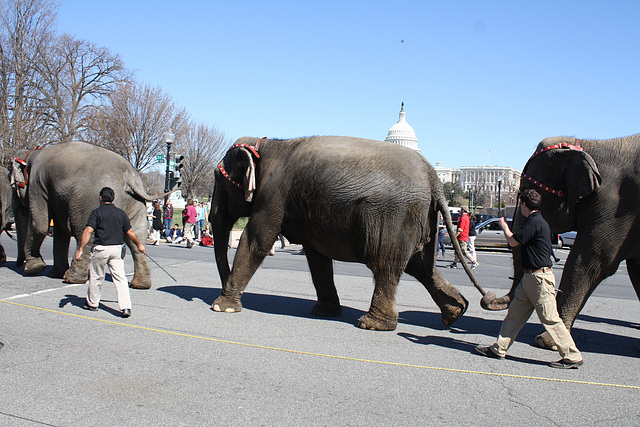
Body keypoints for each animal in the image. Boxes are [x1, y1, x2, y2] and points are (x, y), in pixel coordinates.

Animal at [10, 142, 160, 290]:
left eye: (12, 185)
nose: (19, 264)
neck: (32, 153)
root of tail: (130, 176)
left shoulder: (37, 185)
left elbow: (40, 225)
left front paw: (33, 269)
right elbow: (61, 231)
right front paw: (54, 274)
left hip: (88, 203)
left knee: (85, 234)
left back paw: (71, 278)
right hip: (136, 202)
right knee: (136, 237)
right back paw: (140, 285)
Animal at [210, 136, 484, 332]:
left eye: (217, 179)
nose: (221, 287)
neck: (269, 144)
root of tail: (434, 179)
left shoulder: (272, 194)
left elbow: (257, 239)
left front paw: (222, 308)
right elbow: (317, 257)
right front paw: (325, 312)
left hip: (397, 217)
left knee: (387, 266)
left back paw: (372, 324)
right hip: (420, 219)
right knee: (420, 266)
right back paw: (456, 314)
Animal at [484, 135, 640, 352]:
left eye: (523, 192)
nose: (488, 297)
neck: (589, 145)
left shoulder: (617, 206)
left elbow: (591, 261)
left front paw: (547, 341)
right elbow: (637, 271)